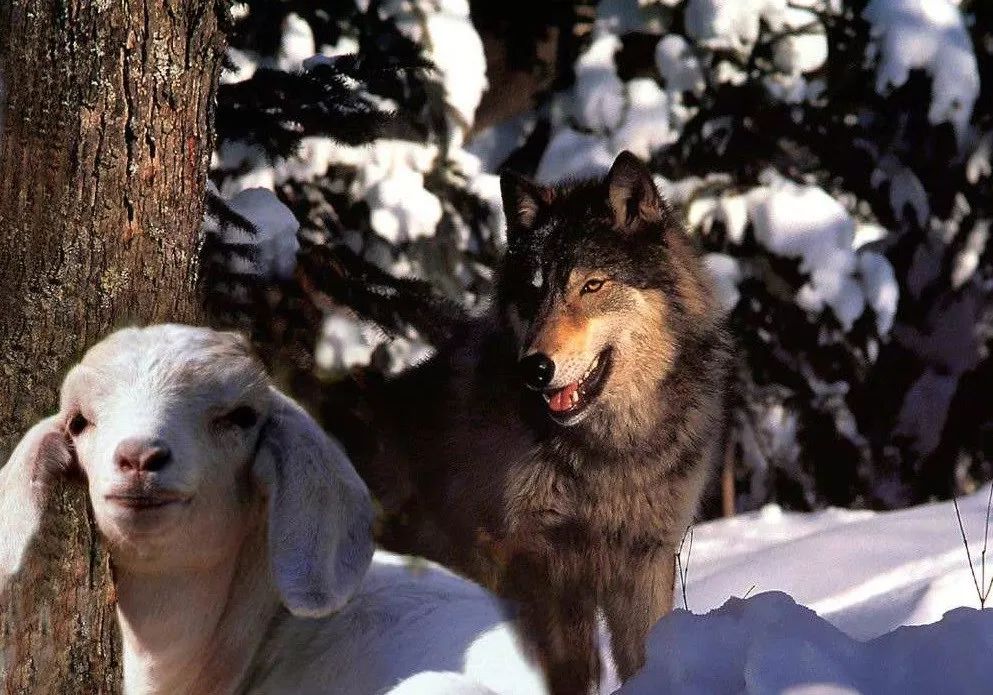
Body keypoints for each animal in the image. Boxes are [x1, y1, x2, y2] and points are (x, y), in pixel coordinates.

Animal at [322, 154, 732, 695]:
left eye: (591, 285)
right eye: (534, 291)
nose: (534, 368)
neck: (606, 452)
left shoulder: (643, 562)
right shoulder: (528, 564)